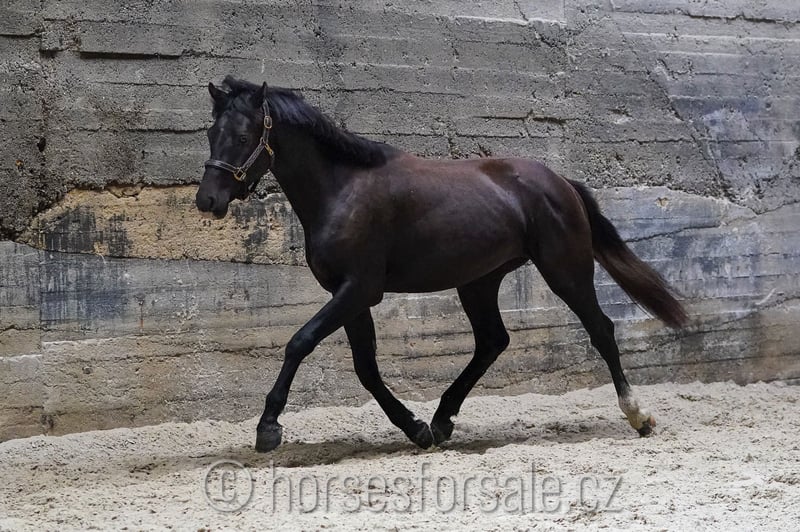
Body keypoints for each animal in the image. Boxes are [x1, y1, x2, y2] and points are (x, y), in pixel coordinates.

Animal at [195, 76, 688, 453]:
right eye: (210, 134)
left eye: (243, 137)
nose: (207, 201)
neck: (342, 190)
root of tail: (560, 182)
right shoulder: (350, 295)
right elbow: (366, 368)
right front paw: (416, 429)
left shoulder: (359, 288)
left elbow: (300, 342)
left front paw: (268, 428)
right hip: (479, 282)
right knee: (492, 341)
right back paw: (442, 419)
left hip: (565, 270)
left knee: (600, 330)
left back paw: (638, 416)